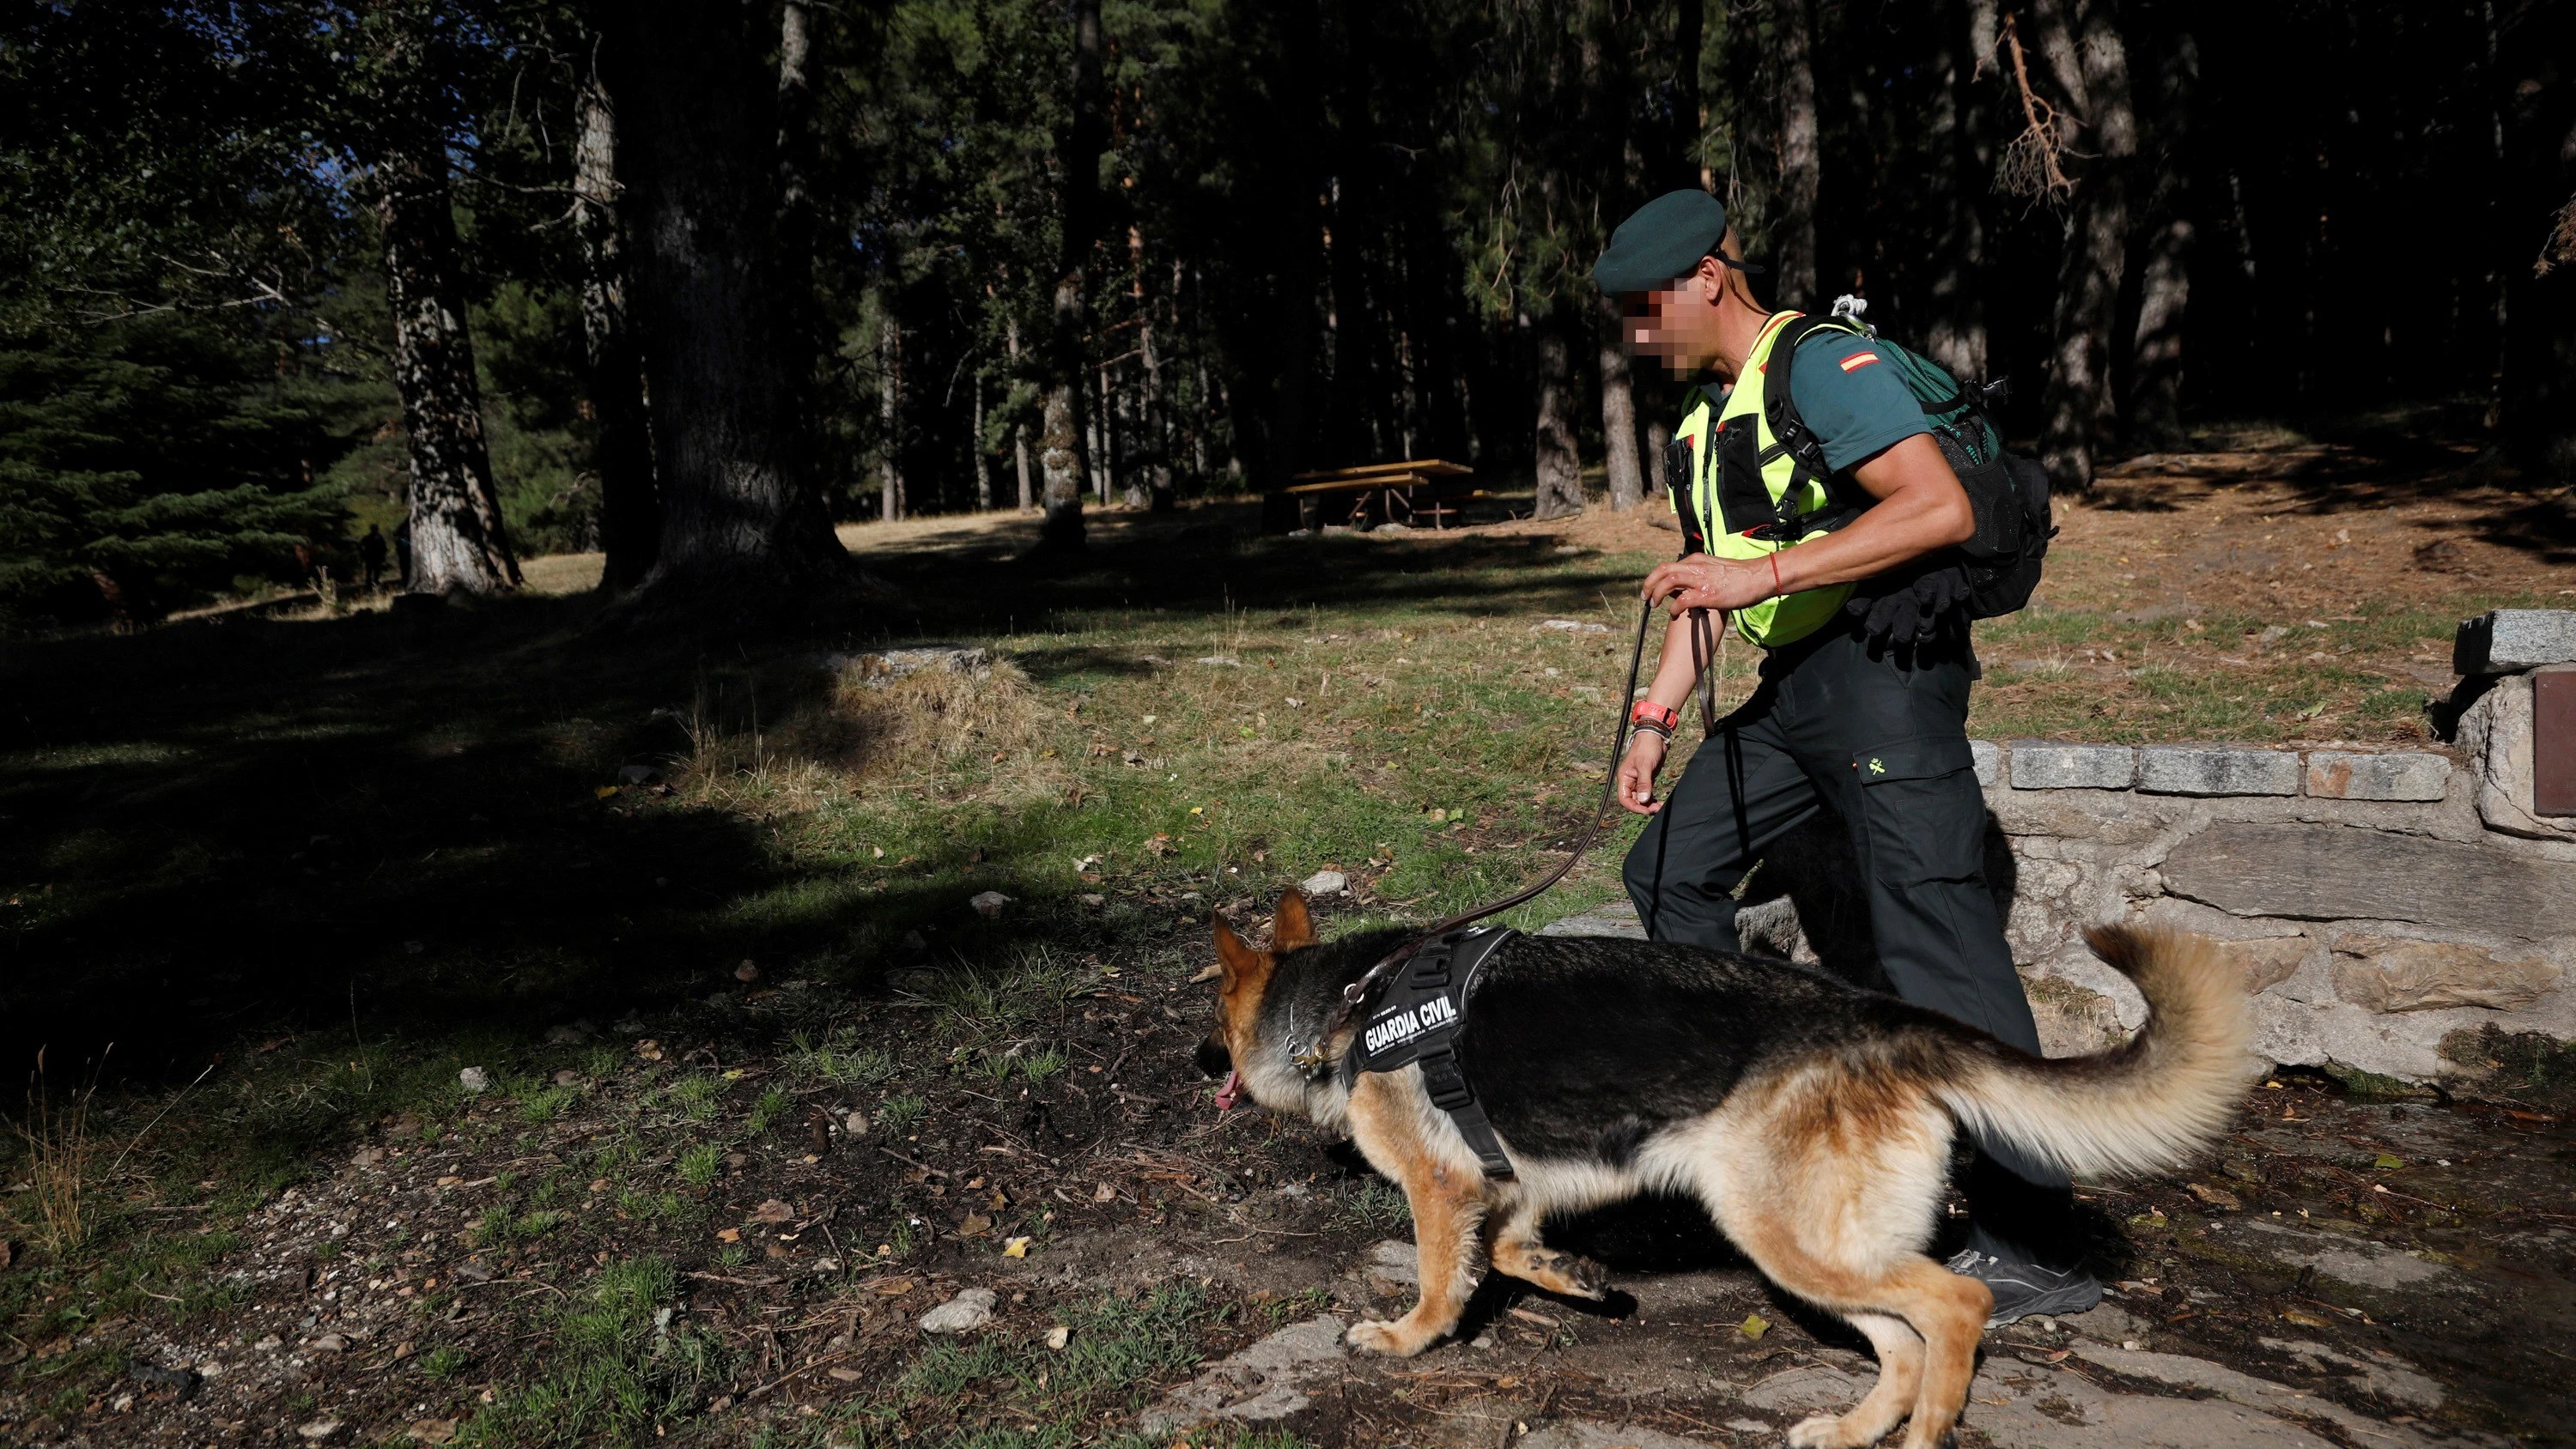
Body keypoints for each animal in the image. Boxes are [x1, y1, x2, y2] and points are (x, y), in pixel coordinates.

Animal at [1195, 895, 2246, 1449]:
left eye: (1217, 1016)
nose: (1204, 1065)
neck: (1347, 1004)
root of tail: (1880, 1019)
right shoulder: (1509, 1185)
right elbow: (1511, 1247)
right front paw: (1577, 1279)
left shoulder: (1438, 1188)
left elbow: (1443, 1275)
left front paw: (1409, 1336)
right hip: (1814, 1253)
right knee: (1902, 1339)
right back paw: (1854, 1429)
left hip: (1785, 1236)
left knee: (1956, 1306)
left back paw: (1923, 1432)